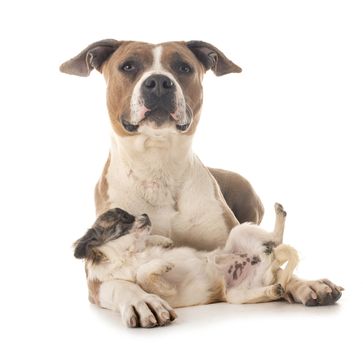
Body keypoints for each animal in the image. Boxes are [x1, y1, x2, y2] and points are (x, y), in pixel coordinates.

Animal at [74, 204, 302, 326]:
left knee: (276, 240)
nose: (145, 214)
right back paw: (274, 288)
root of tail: (265, 261)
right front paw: (161, 265)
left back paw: (279, 216)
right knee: (270, 274)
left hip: (240, 232)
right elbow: (142, 275)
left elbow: (149, 248)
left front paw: (164, 242)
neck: (132, 253)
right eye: (124, 218)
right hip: (236, 295)